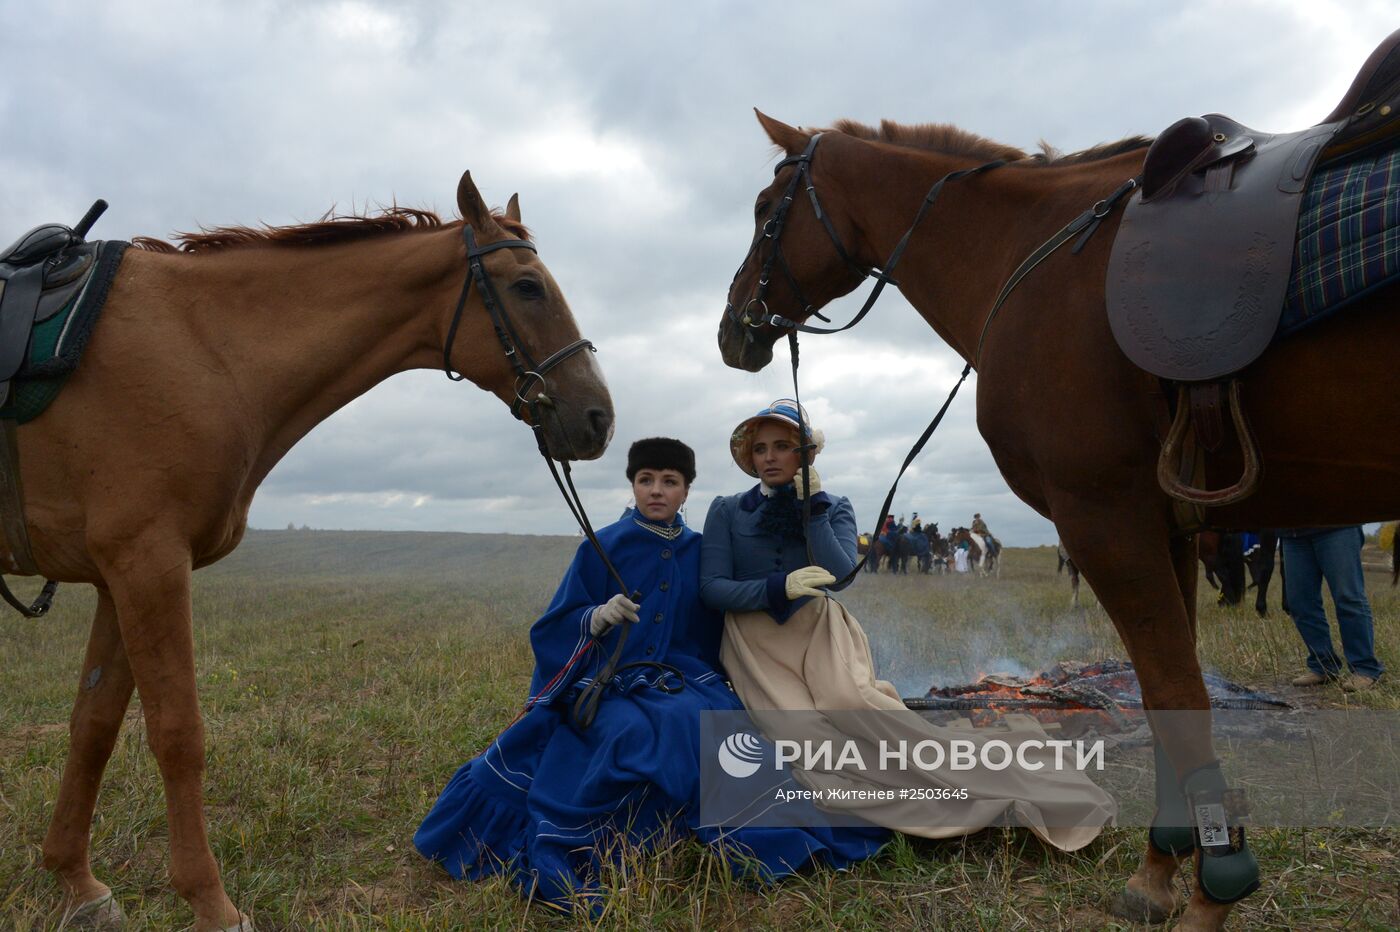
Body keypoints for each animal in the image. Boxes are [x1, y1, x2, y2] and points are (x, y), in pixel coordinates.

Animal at [9, 170, 613, 923]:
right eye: (528, 286)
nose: (599, 417)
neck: (201, 346)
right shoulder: (147, 563)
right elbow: (178, 734)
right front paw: (212, 903)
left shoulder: (116, 576)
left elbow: (92, 727)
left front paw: (76, 882)